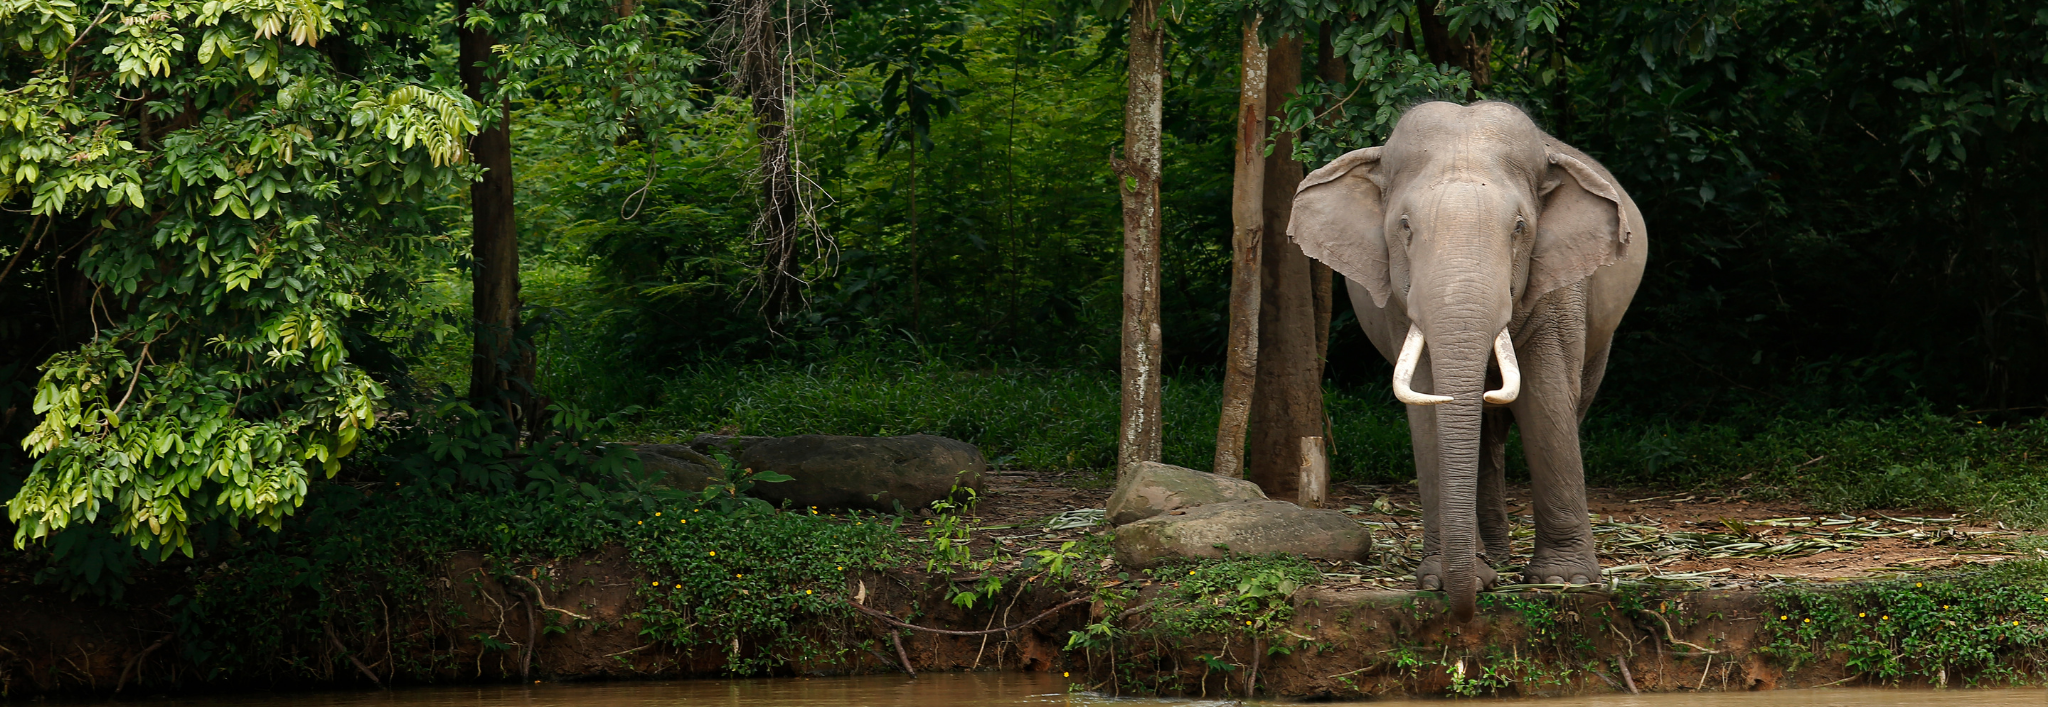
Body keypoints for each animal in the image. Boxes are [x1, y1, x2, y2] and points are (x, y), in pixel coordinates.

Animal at [1288, 101, 1647, 620]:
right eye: (1404, 227)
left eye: (1519, 228)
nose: (1465, 611)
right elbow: (1427, 401)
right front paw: (1444, 580)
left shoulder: (1561, 287)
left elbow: (1545, 398)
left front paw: (1564, 581)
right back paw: (1492, 558)